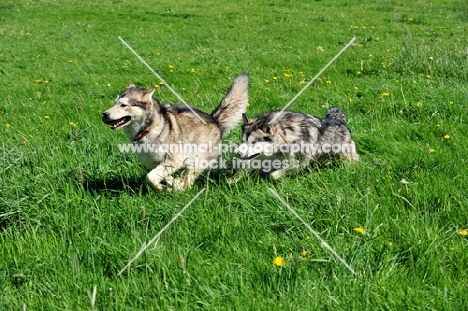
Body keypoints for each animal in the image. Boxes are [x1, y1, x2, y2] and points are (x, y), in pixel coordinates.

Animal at [102, 73, 249, 190]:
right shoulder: (157, 163)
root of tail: (214, 119)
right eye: (115, 102)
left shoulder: (174, 159)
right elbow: (160, 175)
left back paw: (182, 190)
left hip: (197, 160)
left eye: (123, 105)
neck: (149, 130)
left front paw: (163, 189)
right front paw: (173, 184)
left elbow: (150, 177)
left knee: (189, 179)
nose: (104, 114)